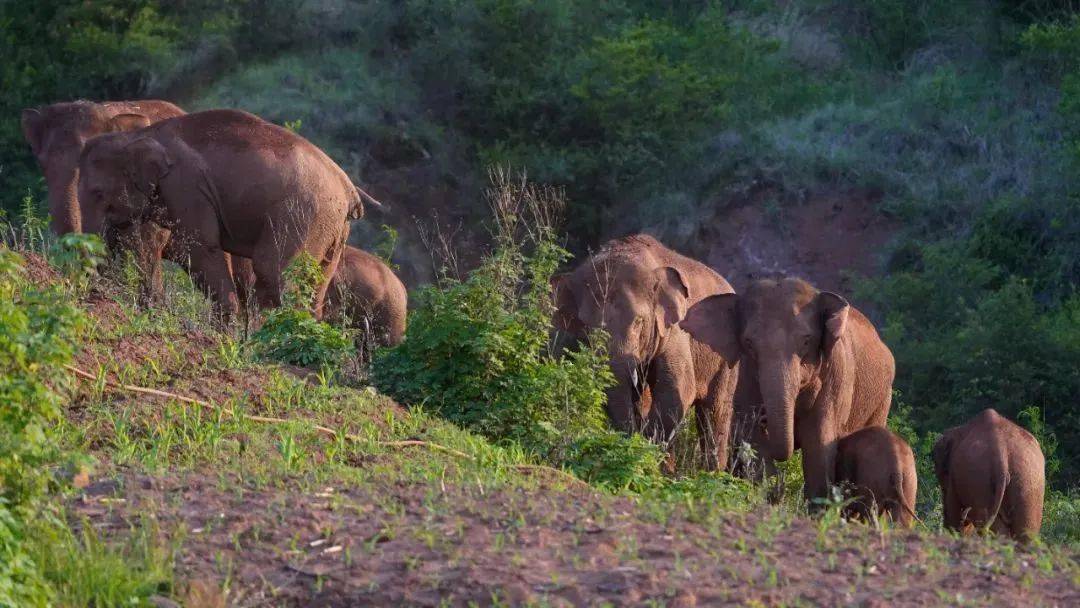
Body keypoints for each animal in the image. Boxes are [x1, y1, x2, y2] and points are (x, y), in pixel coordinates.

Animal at [78, 110, 362, 319]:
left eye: (97, 192)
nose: (95, 295)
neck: (138, 135)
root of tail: (349, 189)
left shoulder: (186, 186)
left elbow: (197, 248)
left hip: (302, 214)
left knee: (271, 271)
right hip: (332, 229)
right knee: (316, 285)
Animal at [552, 234, 738, 470]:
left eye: (638, 322)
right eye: (586, 327)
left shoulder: (674, 329)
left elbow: (678, 389)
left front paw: (645, 445)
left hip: (726, 359)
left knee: (714, 413)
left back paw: (713, 474)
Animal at [682, 278, 894, 501]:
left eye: (806, 341)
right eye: (749, 343)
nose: (764, 417)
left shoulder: (836, 375)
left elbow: (819, 442)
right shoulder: (743, 375)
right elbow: (752, 437)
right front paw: (772, 494)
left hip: (883, 400)